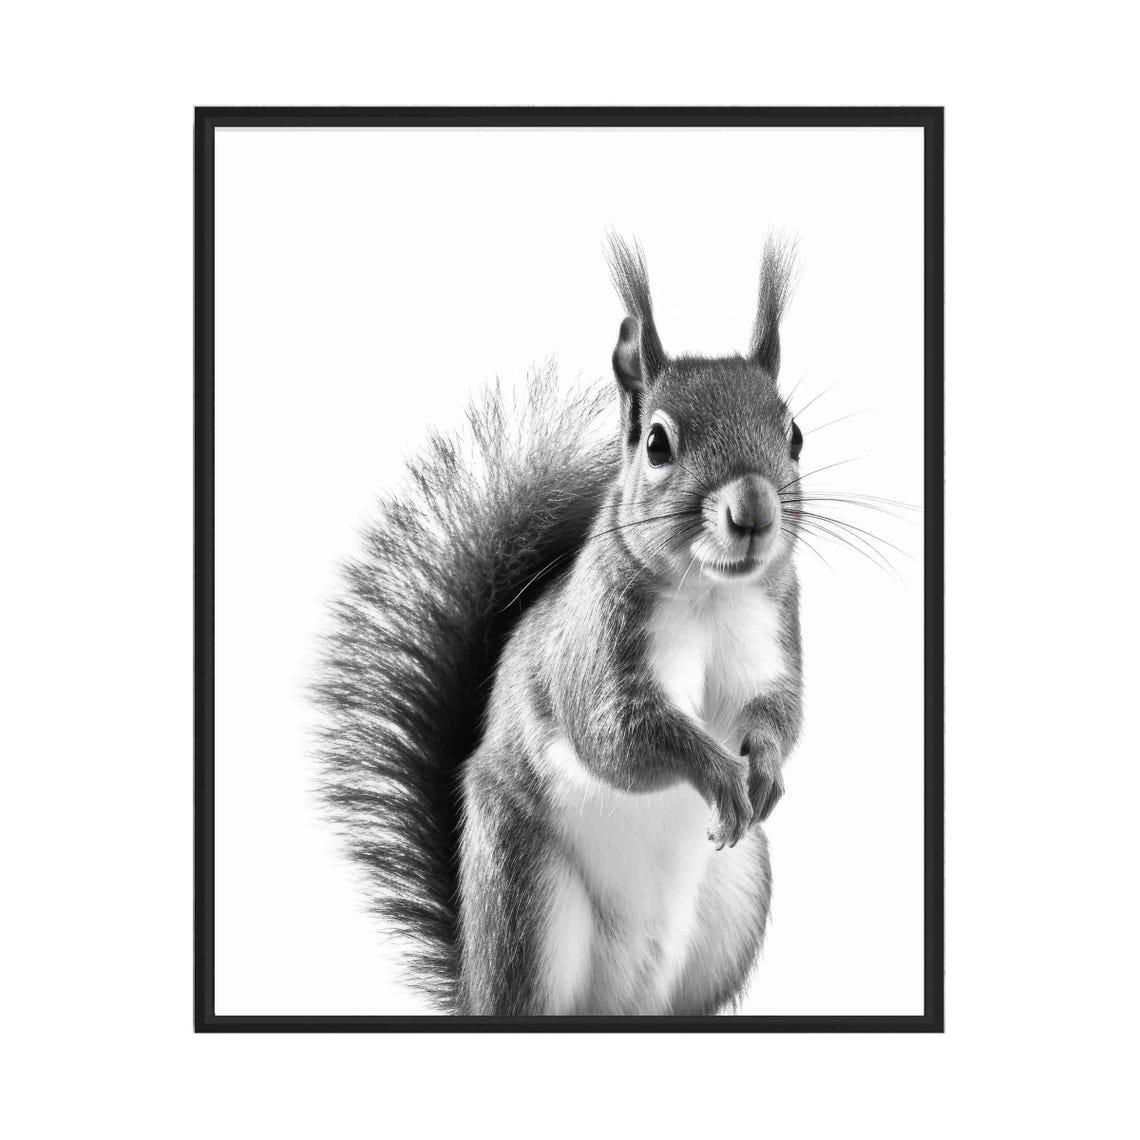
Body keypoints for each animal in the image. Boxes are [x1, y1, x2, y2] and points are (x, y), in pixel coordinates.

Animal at [317, 235, 804, 1015]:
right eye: (658, 444)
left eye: (794, 435)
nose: (753, 509)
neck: (709, 596)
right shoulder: (596, 648)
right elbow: (618, 735)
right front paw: (718, 772)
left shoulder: (773, 632)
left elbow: (780, 713)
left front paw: (765, 766)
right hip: (527, 896)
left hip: (736, 903)